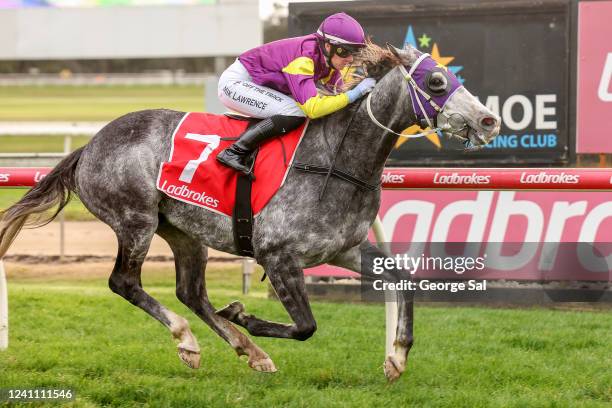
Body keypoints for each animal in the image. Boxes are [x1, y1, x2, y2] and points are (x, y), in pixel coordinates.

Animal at [0, 45, 498, 382]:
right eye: (436, 82)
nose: (489, 120)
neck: (336, 160)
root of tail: (88, 147)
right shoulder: (277, 255)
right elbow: (306, 326)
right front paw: (245, 316)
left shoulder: (345, 249)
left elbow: (402, 278)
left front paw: (396, 357)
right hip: (135, 221)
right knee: (125, 282)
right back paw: (190, 340)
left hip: (183, 231)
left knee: (190, 291)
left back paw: (249, 351)